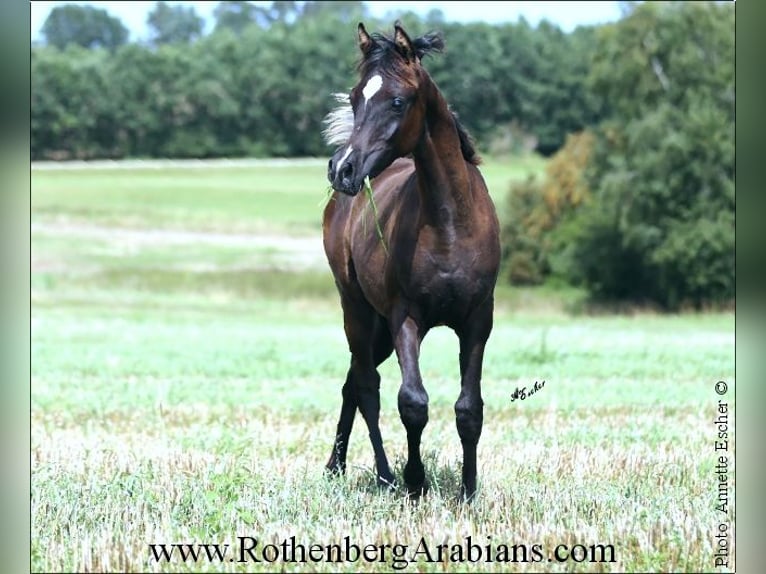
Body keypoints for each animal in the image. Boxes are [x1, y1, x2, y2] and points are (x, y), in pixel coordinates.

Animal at [320, 20, 500, 502]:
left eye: (398, 100)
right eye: (355, 97)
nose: (342, 169)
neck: (449, 223)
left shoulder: (478, 320)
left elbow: (469, 408)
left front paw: (469, 490)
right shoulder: (407, 317)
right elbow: (412, 402)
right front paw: (415, 482)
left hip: (378, 329)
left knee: (351, 383)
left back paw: (335, 467)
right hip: (358, 311)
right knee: (367, 387)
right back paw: (383, 475)